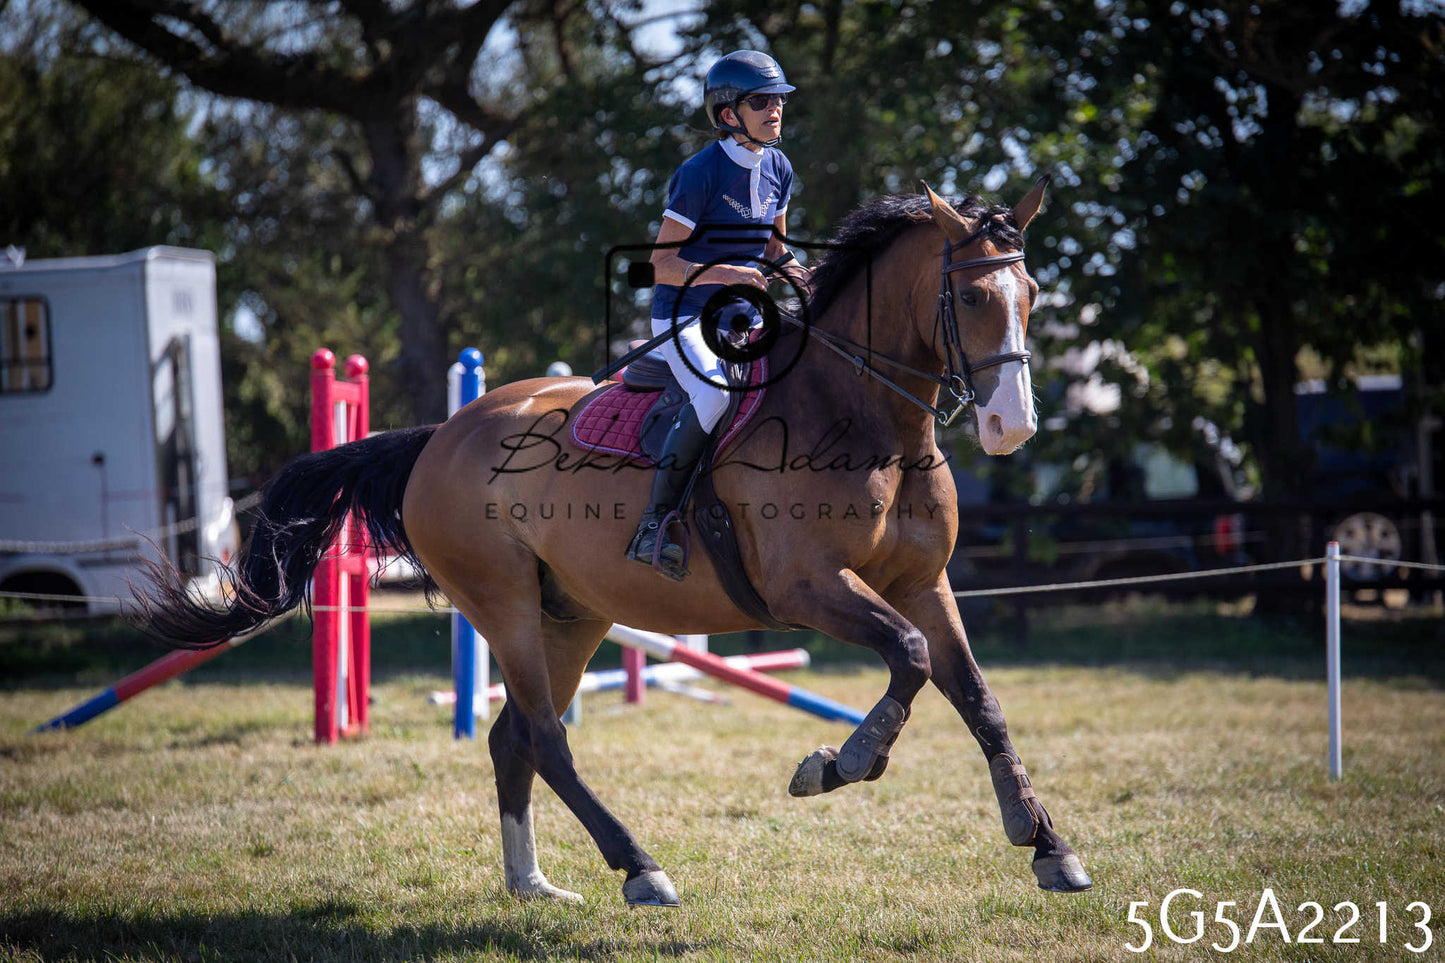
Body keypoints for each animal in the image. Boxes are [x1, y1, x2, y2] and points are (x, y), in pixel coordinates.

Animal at [135, 180, 1092, 906]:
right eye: (971, 296)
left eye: (1033, 297)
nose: (1011, 426)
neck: (866, 419)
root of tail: (441, 436)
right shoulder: (807, 585)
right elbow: (908, 658)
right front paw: (836, 761)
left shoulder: (923, 582)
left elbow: (973, 693)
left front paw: (1045, 843)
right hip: (504, 605)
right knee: (543, 735)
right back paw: (640, 868)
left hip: (572, 615)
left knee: (512, 737)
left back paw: (532, 883)